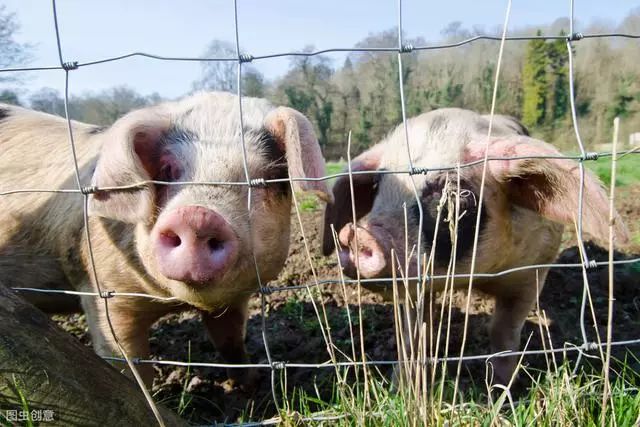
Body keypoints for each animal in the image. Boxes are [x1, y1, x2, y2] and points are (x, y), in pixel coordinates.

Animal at [0, 92, 330, 390]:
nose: (196, 216)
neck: (172, 302)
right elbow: (130, 367)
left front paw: (249, 386)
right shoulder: (102, 293)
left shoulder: (236, 298)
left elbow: (231, 342)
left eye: (268, 177)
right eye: (168, 170)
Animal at [322, 108, 628, 386]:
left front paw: (502, 390)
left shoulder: (533, 271)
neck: (477, 274)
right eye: (377, 186)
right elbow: (414, 335)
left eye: (455, 195)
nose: (359, 234)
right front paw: (402, 386)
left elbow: (503, 331)